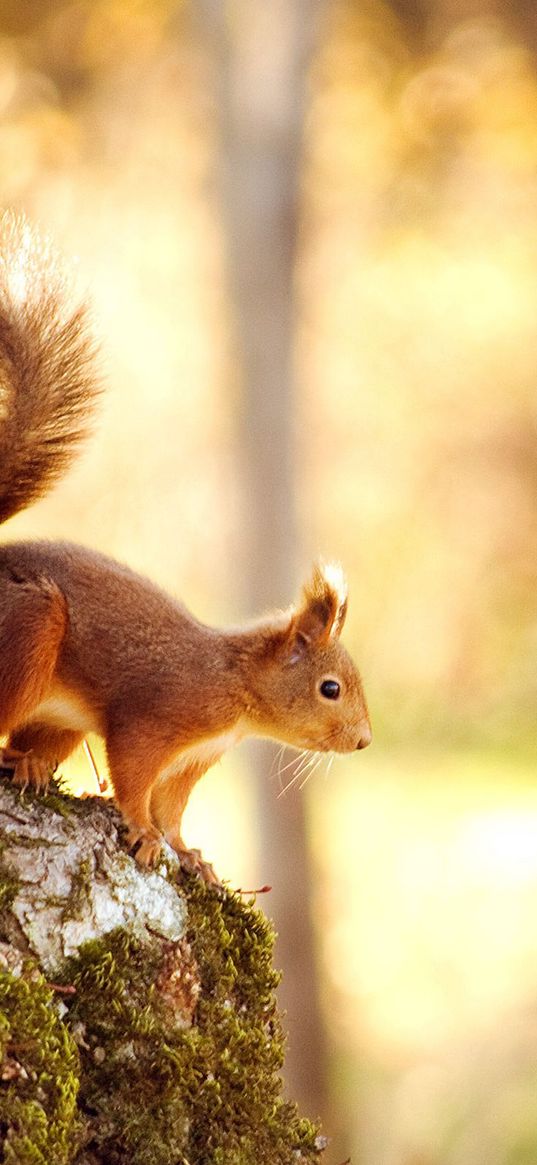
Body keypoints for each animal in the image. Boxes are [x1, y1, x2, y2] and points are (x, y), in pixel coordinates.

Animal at [0, 214, 370, 876]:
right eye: (330, 688)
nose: (363, 741)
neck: (237, 689)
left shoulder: (197, 756)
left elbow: (173, 804)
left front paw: (187, 852)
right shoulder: (156, 719)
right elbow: (134, 776)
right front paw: (145, 834)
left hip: (58, 713)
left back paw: (33, 761)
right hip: (31, 627)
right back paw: (14, 760)